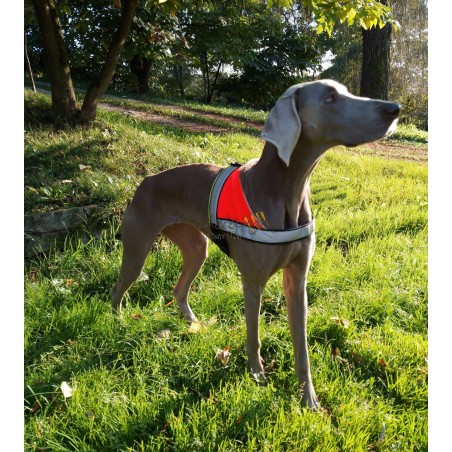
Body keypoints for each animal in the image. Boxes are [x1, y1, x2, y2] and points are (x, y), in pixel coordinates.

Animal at [111, 79, 400, 409]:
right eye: (330, 98)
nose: (395, 109)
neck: (286, 191)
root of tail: (145, 181)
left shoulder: (297, 281)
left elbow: (302, 347)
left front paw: (309, 400)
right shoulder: (252, 281)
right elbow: (253, 335)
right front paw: (257, 376)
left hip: (196, 247)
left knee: (179, 290)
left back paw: (195, 324)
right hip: (138, 247)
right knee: (118, 290)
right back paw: (119, 322)